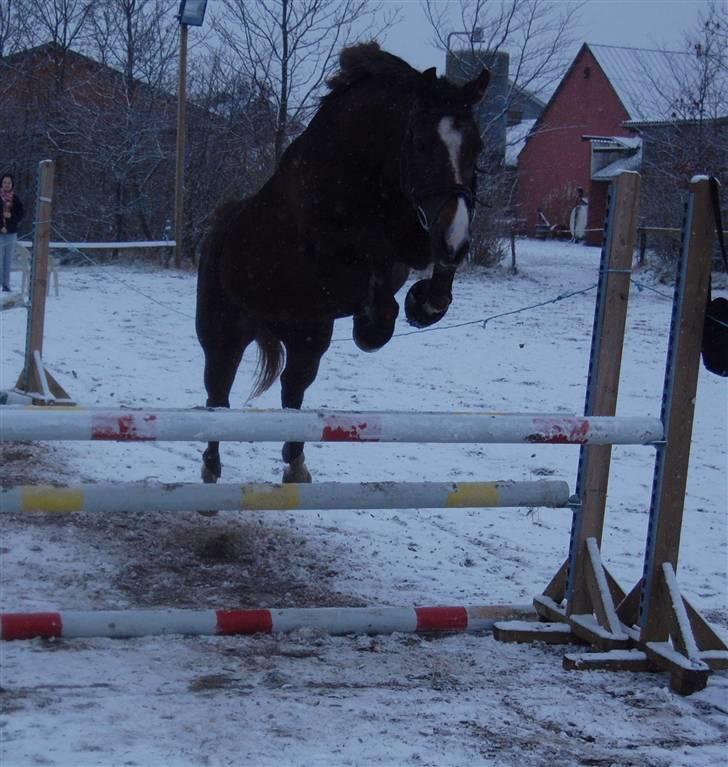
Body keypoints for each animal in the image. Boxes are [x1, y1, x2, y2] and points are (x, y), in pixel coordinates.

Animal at [196, 42, 490, 484]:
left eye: (477, 147)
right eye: (420, 143)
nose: (455, 242)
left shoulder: (419, 237)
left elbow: (433, 277)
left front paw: (422, 305)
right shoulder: (332, 259)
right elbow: (377, 284)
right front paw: (371, 327)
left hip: (308, 335)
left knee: (293, 387)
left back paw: (296, 465)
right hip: (224, 332)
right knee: (218, 392)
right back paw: (211, 468)